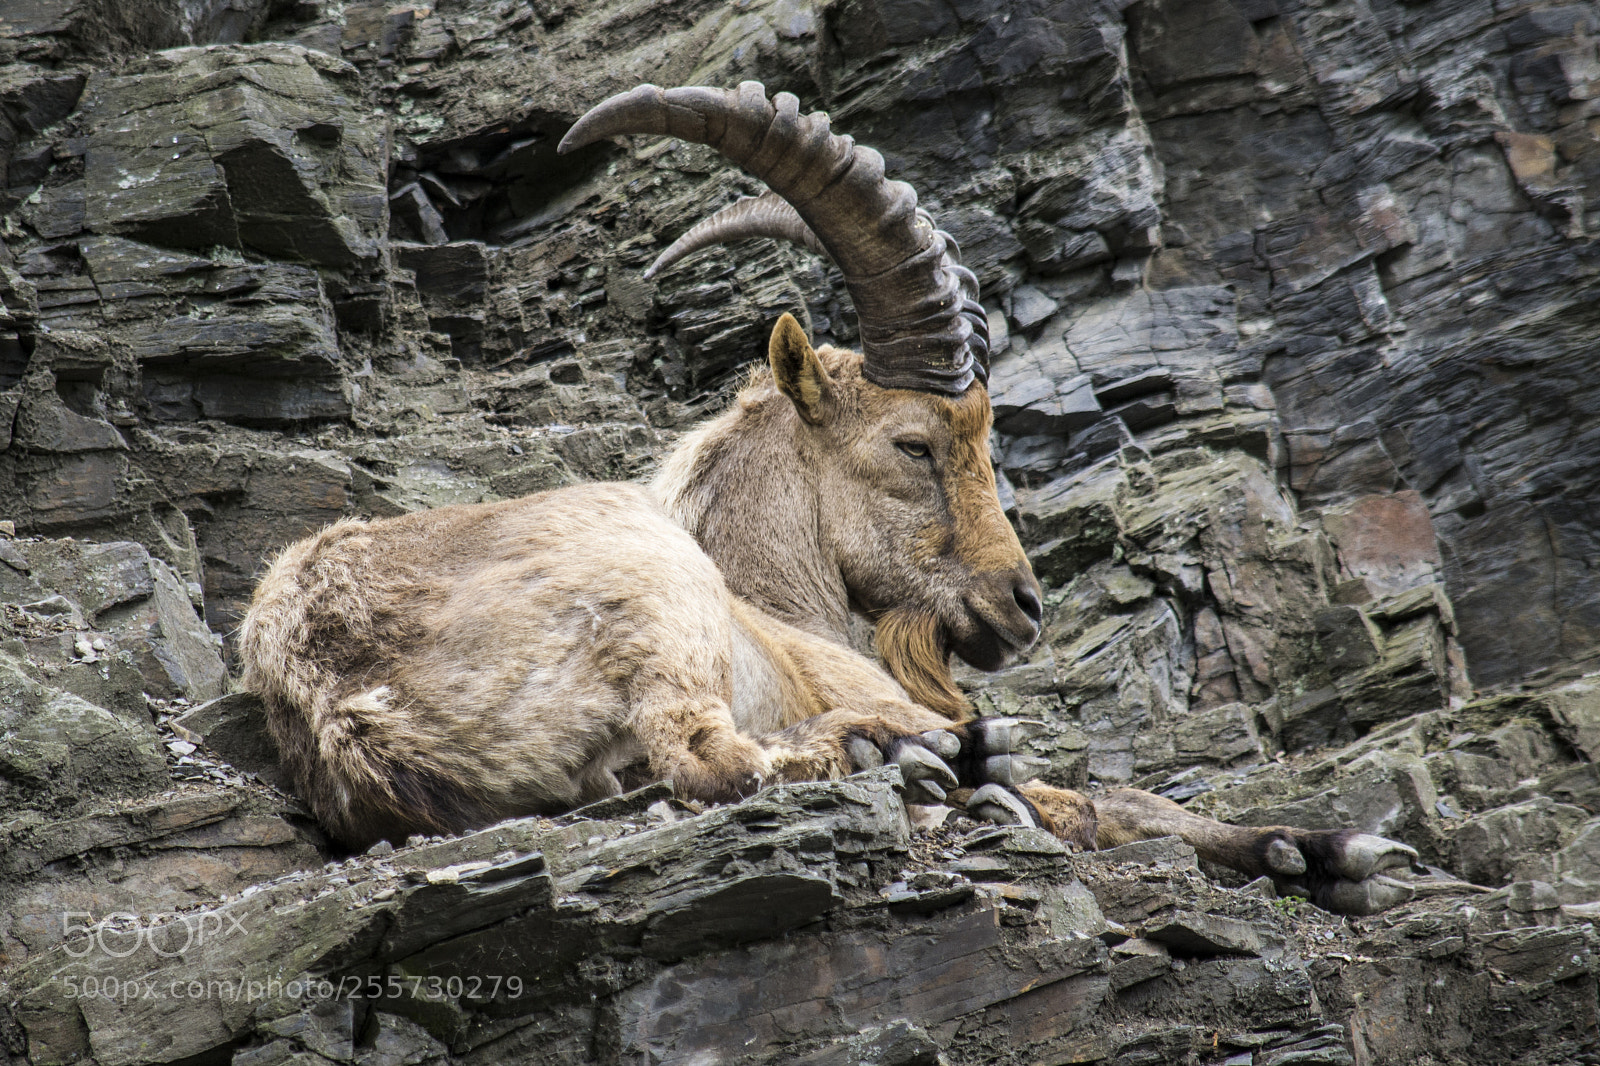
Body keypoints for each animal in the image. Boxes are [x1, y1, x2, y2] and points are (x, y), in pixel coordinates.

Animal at [240, 83, 1419, 915]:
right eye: (915, 441)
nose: (1023, 605)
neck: (778, 595)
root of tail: (340, 691)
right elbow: (1101, 799)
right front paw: (1324, 846)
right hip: (653, 590)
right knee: (705, 756)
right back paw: (906, 756)